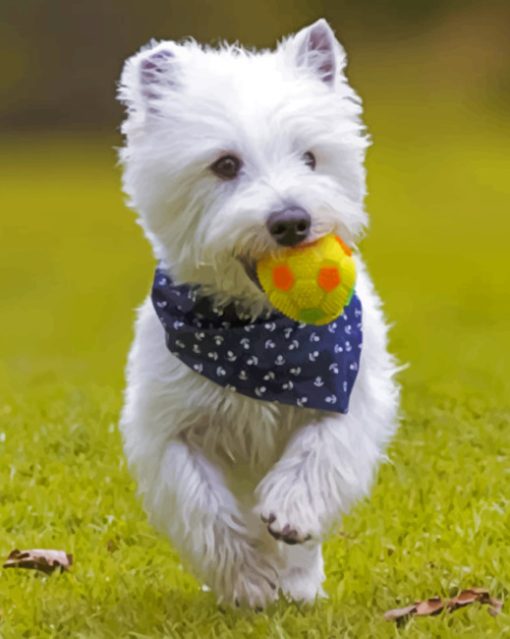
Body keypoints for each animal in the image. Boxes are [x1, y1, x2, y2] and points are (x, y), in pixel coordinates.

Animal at [117, 18, 400, 608]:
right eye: (225, 164)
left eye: (311, 158)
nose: (291, 221)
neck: (261, 337)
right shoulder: (167, 427)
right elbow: (202, 505)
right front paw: (248, 580)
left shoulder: (348, 386)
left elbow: (322, 446)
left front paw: (290, 511)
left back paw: (300, 580)